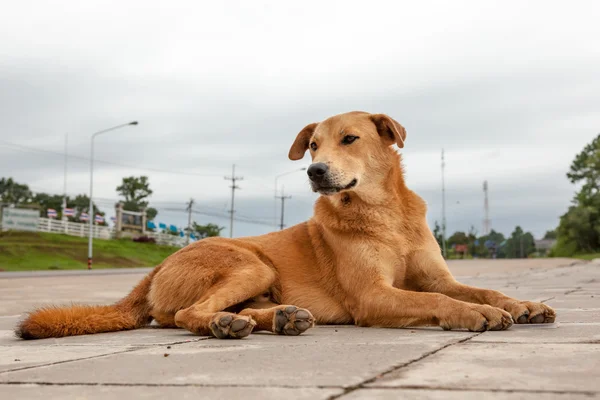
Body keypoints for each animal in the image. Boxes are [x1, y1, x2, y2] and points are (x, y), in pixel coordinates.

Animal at [16, 111, 556, 340]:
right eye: (313, 144)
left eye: (349, 138)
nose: (314, 171)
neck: (385, 216)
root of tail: (157, 266)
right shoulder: (373, 296)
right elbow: (439, 302)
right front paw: (475, 315)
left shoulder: (439, 275)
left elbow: (480, 289)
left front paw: (522, 304)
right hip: (249, 264)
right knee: (188, 313)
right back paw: (227, 325)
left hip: (259, 278)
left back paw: (276, 319)